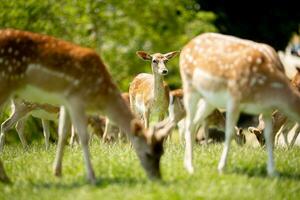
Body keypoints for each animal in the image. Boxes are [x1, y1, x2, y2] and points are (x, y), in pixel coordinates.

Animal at [0, 28, 171, 184]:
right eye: (149, 153)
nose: (157, 177)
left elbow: (58, 133)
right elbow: (78, 134)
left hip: (22, 108)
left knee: (17, 126)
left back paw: (23, 153)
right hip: (22, 106)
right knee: (7, 125)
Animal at [179, 32, 300, 177]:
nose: (262, 148)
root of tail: (187, 45)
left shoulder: (265, 108)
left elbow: (272, 132)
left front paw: (273, 172)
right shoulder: (234, 99)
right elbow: (230, 132)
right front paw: (221, 168)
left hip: (208, 99)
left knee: (192, 124)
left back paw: (188, 165)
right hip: (190, 88)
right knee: (189, 123)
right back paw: (190, 167)